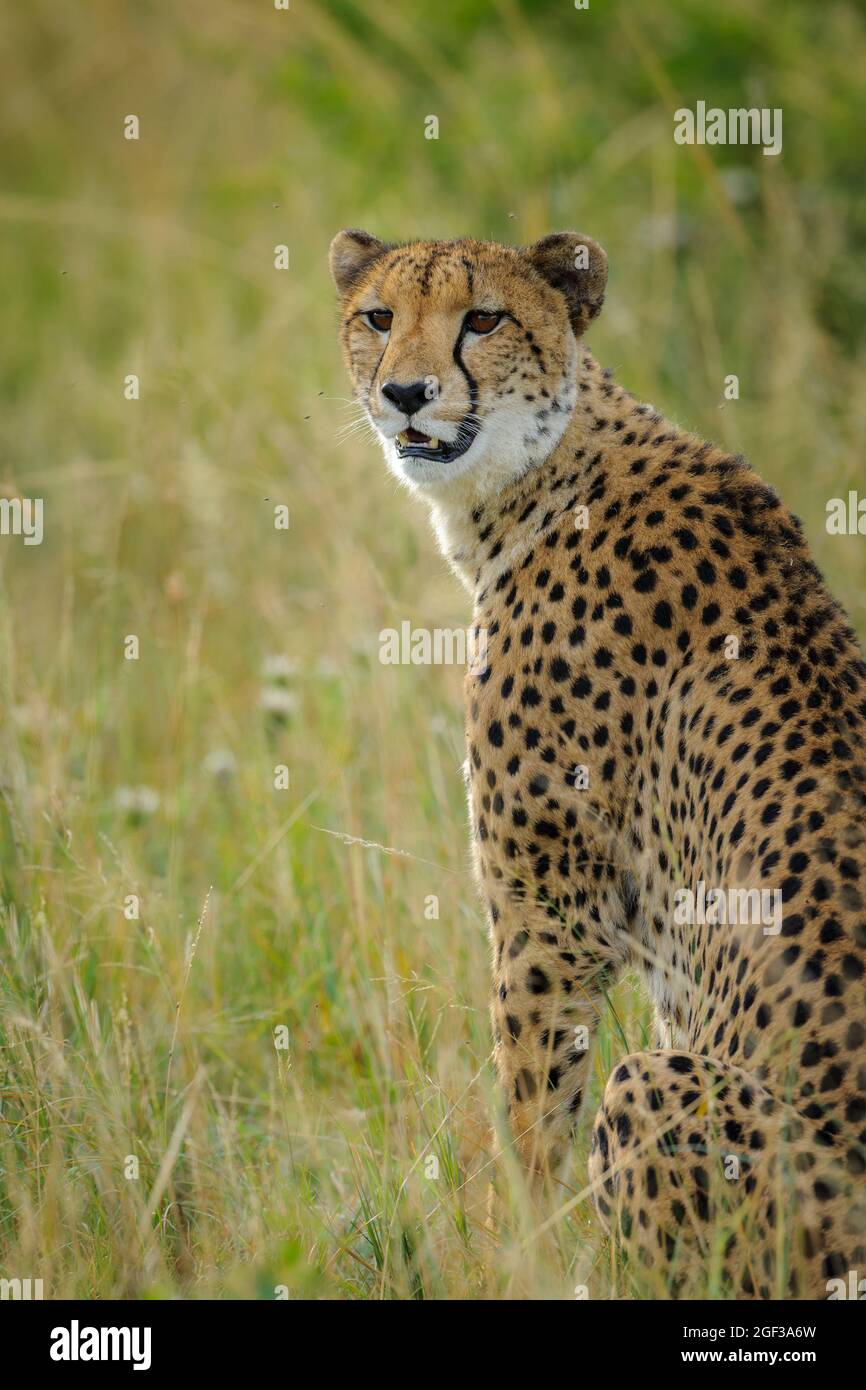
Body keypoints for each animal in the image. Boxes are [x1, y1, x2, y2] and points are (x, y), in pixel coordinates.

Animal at [330, 222, 866, 1295]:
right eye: (378, 316)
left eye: (483, 319)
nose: (405, 392)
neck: (543, 473)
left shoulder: (552, 917)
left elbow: (532, 1119)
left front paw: (519, 1255)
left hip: (668, 1093)